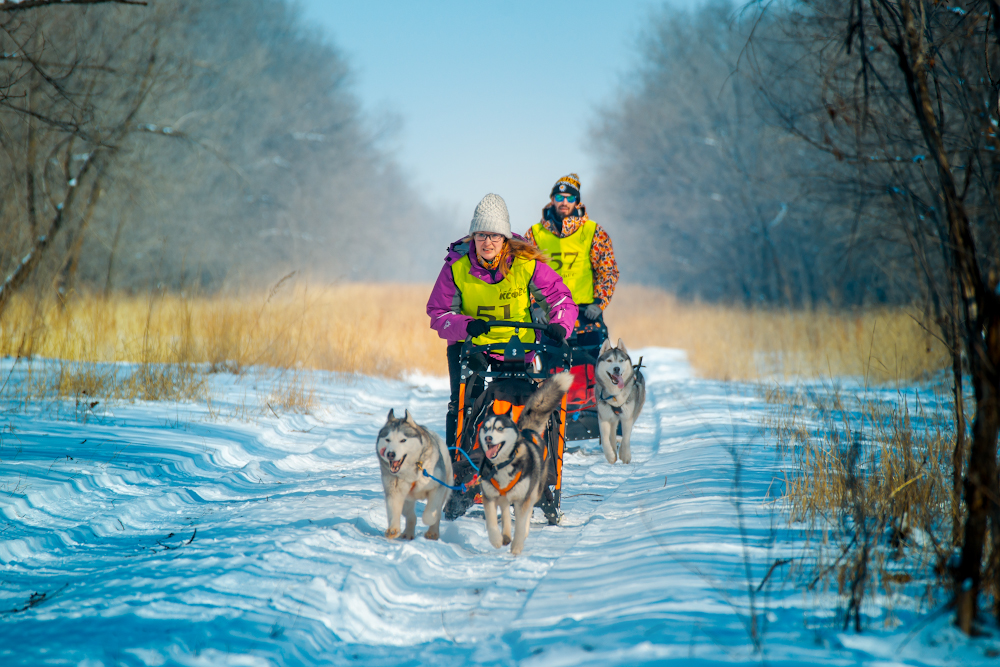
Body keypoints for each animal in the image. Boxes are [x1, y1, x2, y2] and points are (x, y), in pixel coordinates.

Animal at [376, 408, 454, 544]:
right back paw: (408, 533)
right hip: (408, 498)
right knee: (410, 515)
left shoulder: (437, 488)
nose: (390, 454)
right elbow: (395, 508)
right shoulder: (394, 490)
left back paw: (432, 532)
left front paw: (429, 521)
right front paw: (393, 529)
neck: (413, 472)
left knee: (437, 511)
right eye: (387, 439)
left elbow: (430, 515)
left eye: (403, 440)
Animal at [476, 374, 572, 556]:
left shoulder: (524, 499)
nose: (488, 438)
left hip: (534, 491)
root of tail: (527, 430)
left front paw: (517, 547)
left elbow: (521, 525)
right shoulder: (489, 496)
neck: (503, 464)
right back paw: (506, 535)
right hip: (506, 497)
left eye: (500, 428)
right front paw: (497, 539)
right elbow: (491, 522)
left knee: (527, 514)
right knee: (506, 511)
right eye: (485, 428)